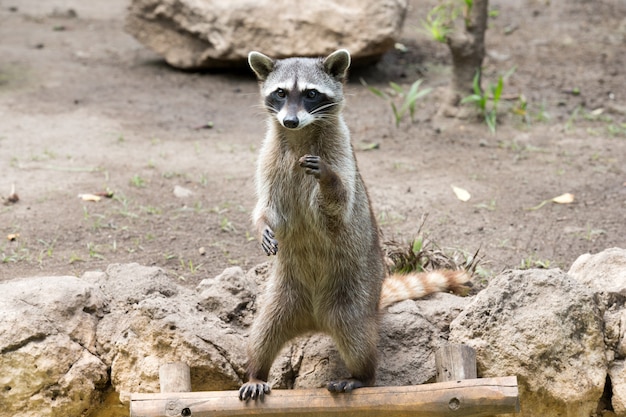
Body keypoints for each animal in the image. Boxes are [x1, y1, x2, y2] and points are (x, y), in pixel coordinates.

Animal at [239, 48, 468, 400]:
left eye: (311, 94)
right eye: (280, 93)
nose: (290, 120)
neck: (300, 134)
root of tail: (315, 322)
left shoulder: (340, 153)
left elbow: (338, 206)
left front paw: (328, 181)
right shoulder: (270, 158)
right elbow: (267, 206)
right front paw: (261, 224)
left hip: (354, 296)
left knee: (357, 337)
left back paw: (363, 375)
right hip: (281, 296)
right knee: (262, 333)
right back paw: (255, 371)